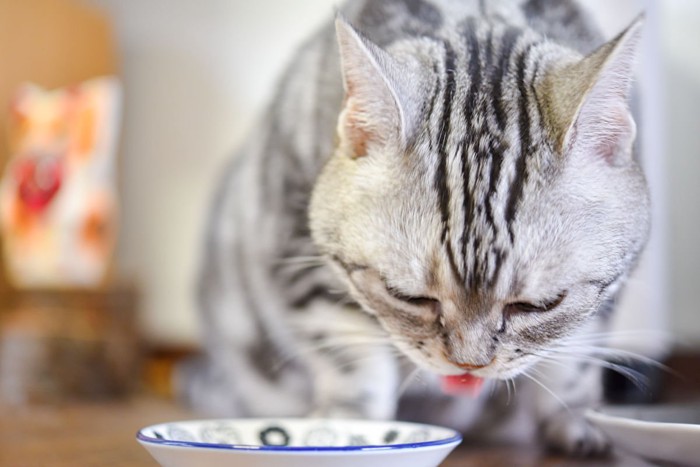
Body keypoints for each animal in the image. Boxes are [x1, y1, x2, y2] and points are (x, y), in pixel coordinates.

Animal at [176, 0, 652, 456]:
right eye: (407, 297)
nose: (469, 365)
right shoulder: (294, 245)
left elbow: (575, 357)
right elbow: (352, 356)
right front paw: (350, 429)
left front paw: (579, 418)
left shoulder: (610, 290)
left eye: (540, 305)